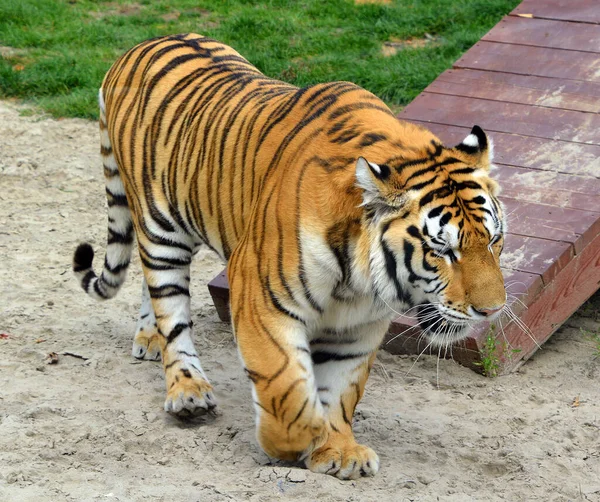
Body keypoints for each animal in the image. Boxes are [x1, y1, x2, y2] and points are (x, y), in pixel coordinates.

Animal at [74, 33, 506, 480]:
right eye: (443, 250)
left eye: (494, 240)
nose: (492, 310)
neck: (359, 279)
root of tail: (139, 45)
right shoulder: (259, 297)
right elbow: (286, 385)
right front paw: (297, 440)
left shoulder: (360, 324)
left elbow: (342, 389)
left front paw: (339, 450)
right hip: (161, 230)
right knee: (171, 310)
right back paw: (188, 390)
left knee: (150, 284)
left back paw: (149, 338)